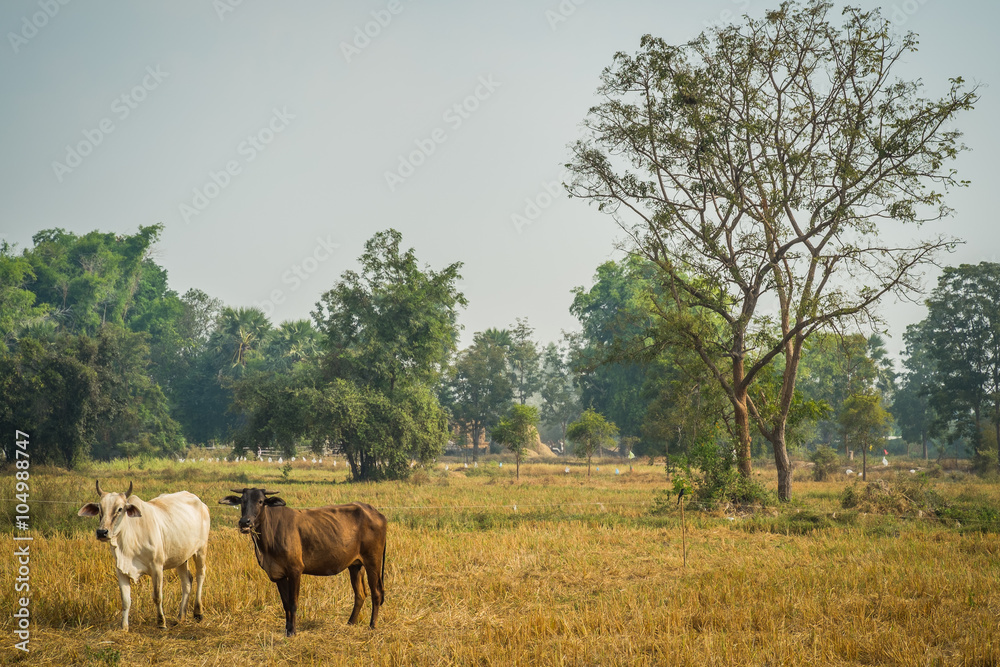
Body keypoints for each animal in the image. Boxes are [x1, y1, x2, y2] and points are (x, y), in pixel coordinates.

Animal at [78, 480, 211, 632]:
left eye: (120, 509)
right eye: (100, 508)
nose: (102, 532)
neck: (130, 537)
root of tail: (201, 503)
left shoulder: (157, 567)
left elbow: (157, 596)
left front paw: (161, 622)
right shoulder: (120, 570)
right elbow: (125, 600)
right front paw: (124, 626)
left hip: (201, 550)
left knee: (200, 575)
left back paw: (198, 612)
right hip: (181, 557)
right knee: (187, 581)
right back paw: (180, 616)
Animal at [219, 490, 386, 636]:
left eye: (260, 501)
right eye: (242, 501)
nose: (245, 522)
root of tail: (374, 512)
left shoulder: (295, 570)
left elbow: (293, 603)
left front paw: (293, 631)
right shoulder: (277, 574)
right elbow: (286, 604)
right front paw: (287, 630)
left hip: (373, 561)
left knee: (376, 593)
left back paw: (372, 625)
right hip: (355, 565)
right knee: (360, 594)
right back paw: (350, 622)